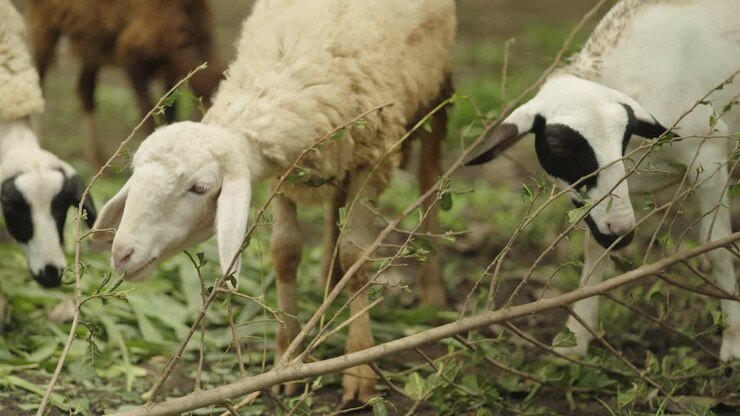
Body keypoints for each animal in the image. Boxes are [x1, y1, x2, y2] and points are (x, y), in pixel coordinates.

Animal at [26, 0, 226, 167]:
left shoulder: (169, 67)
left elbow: (171, 114)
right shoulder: (131, 54)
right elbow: (148, 116)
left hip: (91, 43)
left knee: (85, 88)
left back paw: (98, 162)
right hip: (44, 24)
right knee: (39, 85)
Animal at [92, 0, 456, 404]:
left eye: (199, 188)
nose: (121, 253)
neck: (293, 65)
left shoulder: (372, 157)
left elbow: (357, 258)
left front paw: (359, 364)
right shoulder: (288, 170)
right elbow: (286, 253)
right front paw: (286, 360)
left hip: (436, 89)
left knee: (429, 176)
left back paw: (433, 288)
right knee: (336, 205)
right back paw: (329, 279)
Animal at [466, 0, 740, 361]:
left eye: (625, 134)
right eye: (557, 146)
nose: (622, 231)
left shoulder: (709, 157)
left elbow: (718, 248)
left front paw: (733, 342)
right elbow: (595, 253)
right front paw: (576, 338)